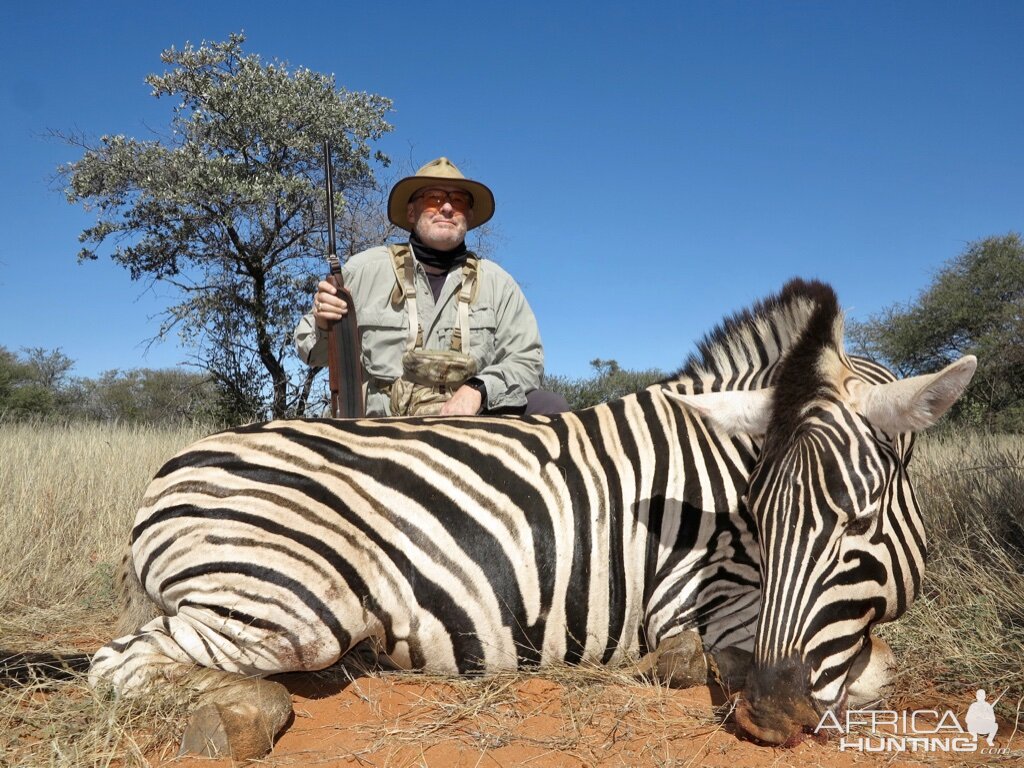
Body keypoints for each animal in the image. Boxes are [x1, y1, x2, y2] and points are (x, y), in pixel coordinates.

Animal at [2, 278, 974, 757]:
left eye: (860, 522)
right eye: (758, 523)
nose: (772, 717)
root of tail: (169, 469)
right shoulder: (697, 597)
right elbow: (870, 669)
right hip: (294, 604)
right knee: (124, 664)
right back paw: (238, 717)